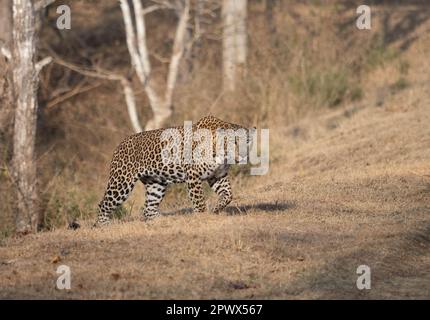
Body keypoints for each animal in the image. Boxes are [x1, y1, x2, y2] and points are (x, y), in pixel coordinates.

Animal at [95, 114, 252, 225]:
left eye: (246, 143)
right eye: (233, 142)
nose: (242, 156)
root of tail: (119, 145)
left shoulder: (217, 176)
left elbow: (228, 195)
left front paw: (216, 209)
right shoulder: (193, 175)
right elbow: (199, 200)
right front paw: (202, 217)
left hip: (156, 183)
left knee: (149, 208)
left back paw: (162, 220)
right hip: (121, 183)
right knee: (103, 204)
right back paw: (103, 225)